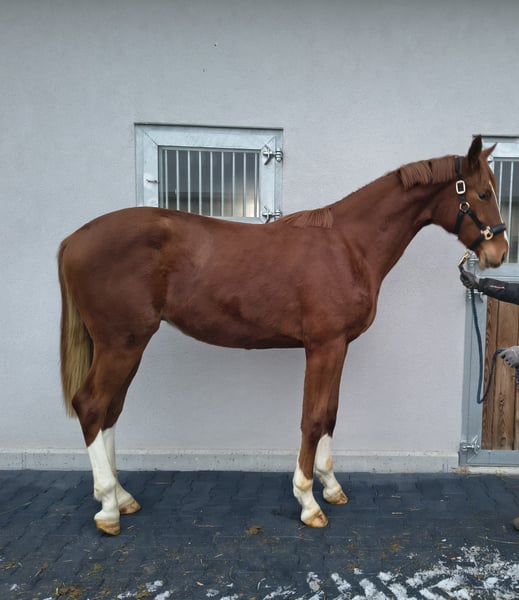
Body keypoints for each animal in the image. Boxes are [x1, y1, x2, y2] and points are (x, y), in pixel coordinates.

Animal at [58, 136, 507, 535]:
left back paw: (122, 497)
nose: (499, 253)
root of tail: (73, 240)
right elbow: (312, 418)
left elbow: (330, 413)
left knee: (111, 411)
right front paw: (308, 501)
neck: (349, 245)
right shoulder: (323, 347)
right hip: (122, 343)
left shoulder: (339, 347)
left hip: (123, 345)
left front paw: (331, 487)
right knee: (91, 405)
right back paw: (108, 508)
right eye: (483, 193)